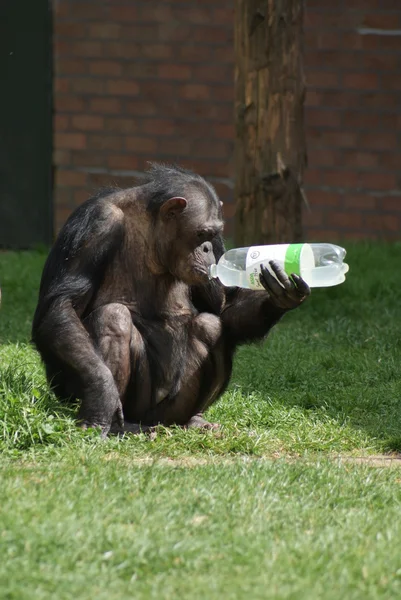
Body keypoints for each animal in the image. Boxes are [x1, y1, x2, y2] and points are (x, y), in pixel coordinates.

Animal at [32, 164, 310, 436]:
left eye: (212, 235)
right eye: (201, 234)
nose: (208, 249)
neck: (151, 233)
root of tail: (156, 422)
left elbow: (224, 307)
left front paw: (281, 294)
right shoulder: (96, 224)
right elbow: (64, 304)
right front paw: (102, 395)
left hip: (173, 406)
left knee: (210, 326)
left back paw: (195, 420)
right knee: (113, 318)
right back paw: (119, 426)